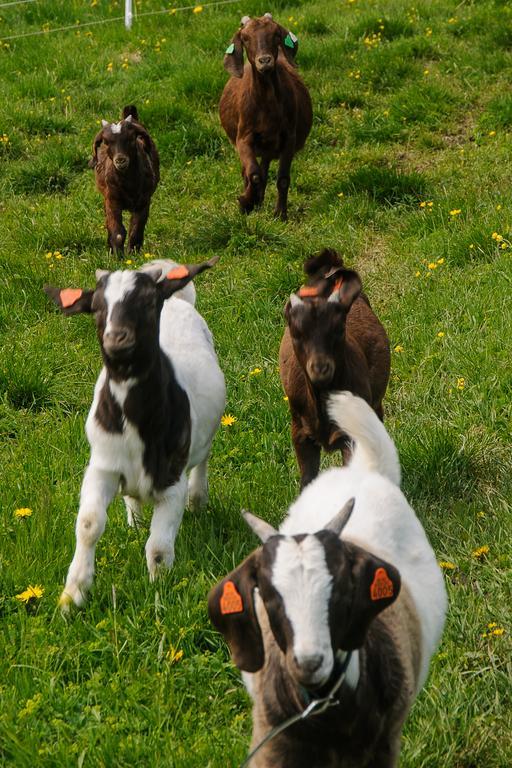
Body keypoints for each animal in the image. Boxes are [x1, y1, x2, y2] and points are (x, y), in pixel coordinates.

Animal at [45, 260, 225, 608]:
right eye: (96, 307)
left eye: (148, 302)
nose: (116, 337)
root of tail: (177, 299)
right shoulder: (101, 465)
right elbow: (88, 524)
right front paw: (73, 595)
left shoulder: (172, 477)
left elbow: (158, 549)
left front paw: (159, 594)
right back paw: (136, 521)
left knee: (204, 459)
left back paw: (198, 499)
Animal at [89, 104, 159, 255]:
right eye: (106, 142)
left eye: (131, 138)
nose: (120, 160)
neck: (129, 185)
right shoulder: (112, 200)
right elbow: (117, 232)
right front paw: (117, 255)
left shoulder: (144, 201)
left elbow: (136, 230)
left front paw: (133, 253)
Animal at [207, 392, 444, 764]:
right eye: (268, 598)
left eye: (345, 592)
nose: (309, 661)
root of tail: (363, 470)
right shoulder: (271, 745)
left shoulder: (383, 744)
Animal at [219, 14, 312, 219]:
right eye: (245, 38)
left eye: (276, 34)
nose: (265, 61)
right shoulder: (243, 138)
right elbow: (253, 174)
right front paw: (246, 202)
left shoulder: (289, 138)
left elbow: (282, 178)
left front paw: (280, 214)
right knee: (250, 172)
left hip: (269, 145)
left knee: (265, 165)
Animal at [278, 249, 390, 488]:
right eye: (296, 333)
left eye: (339, 329)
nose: (320, 368)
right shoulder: (300, 433)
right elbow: (307, 480)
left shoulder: (352, 435)